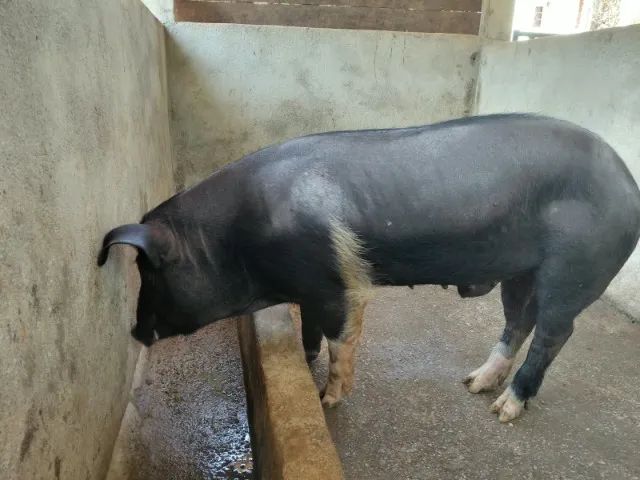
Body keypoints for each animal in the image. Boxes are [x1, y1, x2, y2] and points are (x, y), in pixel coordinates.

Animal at [98, 114, 640, 422]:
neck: (235, 240)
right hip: (521, 270)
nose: (135, 331)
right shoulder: (310, 287)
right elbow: (309, 331)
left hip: (574, 268)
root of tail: (627, 181)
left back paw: (504, 411)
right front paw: (305, 364)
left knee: (555, 332)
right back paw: (473, 384)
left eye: (153, 274)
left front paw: (326, 401)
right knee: (519, 320)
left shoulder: (341, 285)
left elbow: (341, 339)